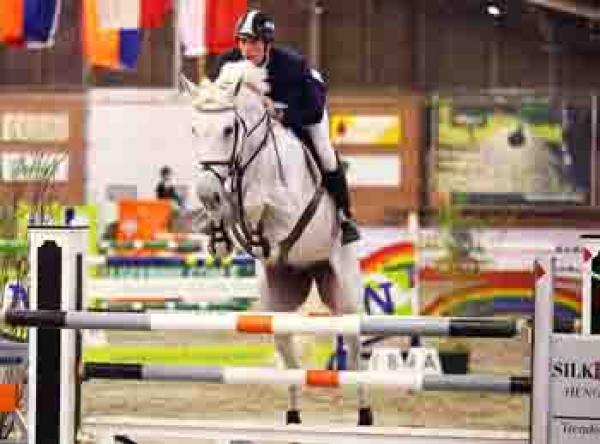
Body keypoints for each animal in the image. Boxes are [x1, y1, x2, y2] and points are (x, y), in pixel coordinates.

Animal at [181, 60, 373, 426]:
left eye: (228, 129)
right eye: (194, 129)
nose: (207, 191)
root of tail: (311, 270)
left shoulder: (290, 210)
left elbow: (258, 204)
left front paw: (248, 222)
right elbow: (229, 209)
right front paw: (218, 233)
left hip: (346, 296)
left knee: (356, 355)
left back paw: (365, 416)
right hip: (278, 301)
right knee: (288, 355)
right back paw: (293, 418)